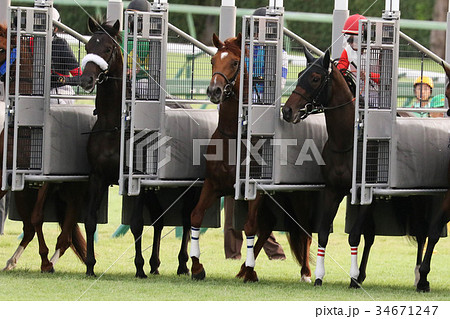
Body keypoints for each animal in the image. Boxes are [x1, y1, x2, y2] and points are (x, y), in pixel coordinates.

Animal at [188, 33, 312, 284]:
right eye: (213, 60)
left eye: (235, 62)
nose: (214, 91)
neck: (234, 137)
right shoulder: (213, 184)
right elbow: (196, 216)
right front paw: (196, 267)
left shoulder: (256, 190)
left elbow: (251, 226)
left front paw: (252, 271)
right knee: (269, 226)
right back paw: (243, 268)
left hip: (299, 195)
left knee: (304, 229)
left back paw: (305, 272)